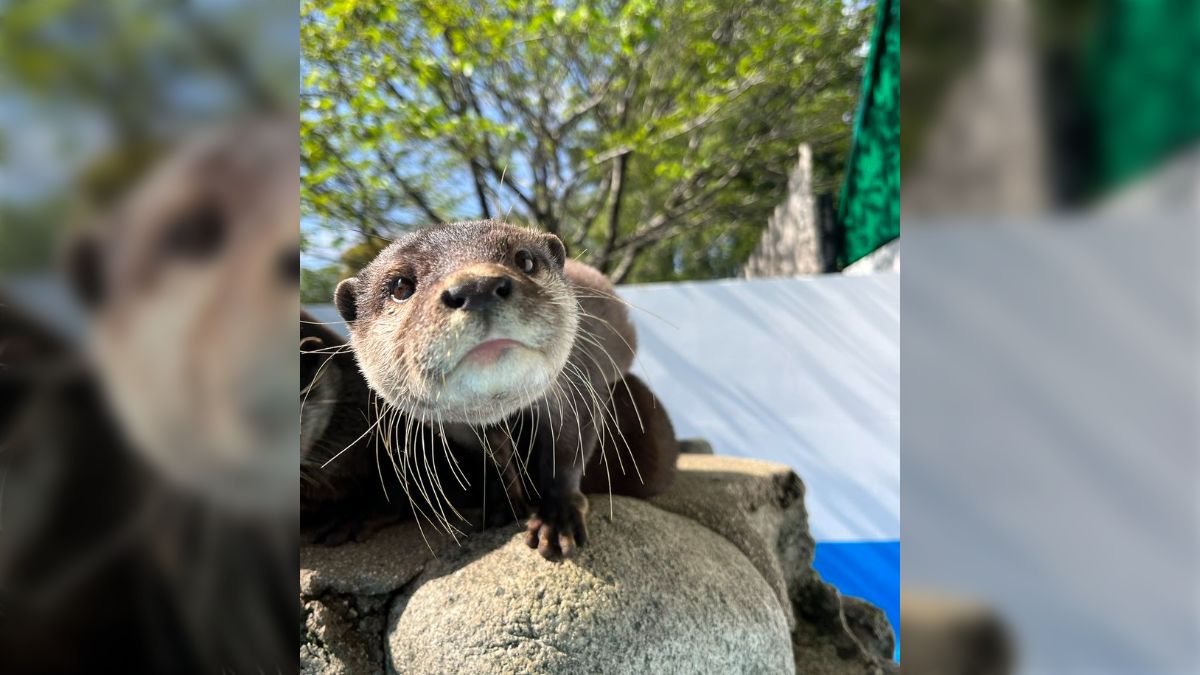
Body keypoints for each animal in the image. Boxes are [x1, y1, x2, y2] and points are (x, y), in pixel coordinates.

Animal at [333, 220, 681, 557]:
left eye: (525, 259)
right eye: (401, 286)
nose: (476, 287)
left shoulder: (579, 387)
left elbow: (566, 455)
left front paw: (557, 517)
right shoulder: (460, 428)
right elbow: (494, 462)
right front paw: (504, 505)